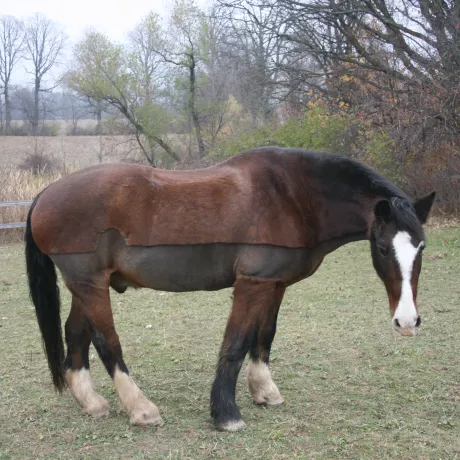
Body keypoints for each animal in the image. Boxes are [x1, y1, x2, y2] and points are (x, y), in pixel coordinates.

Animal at [24, 146, 434, 432]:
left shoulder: (274, 284)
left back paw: (91, 403)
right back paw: (141, 409)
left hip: (86, 285)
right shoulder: (252, 283)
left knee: (76, 335)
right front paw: (226, 413)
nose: (407, 321)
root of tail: (46, 193)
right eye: (383, 249)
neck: (294, 196)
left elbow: (264, 336)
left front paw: (264, 391)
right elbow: (235, 343)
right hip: (91, 285)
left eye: (421, 247)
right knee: (107, 343)